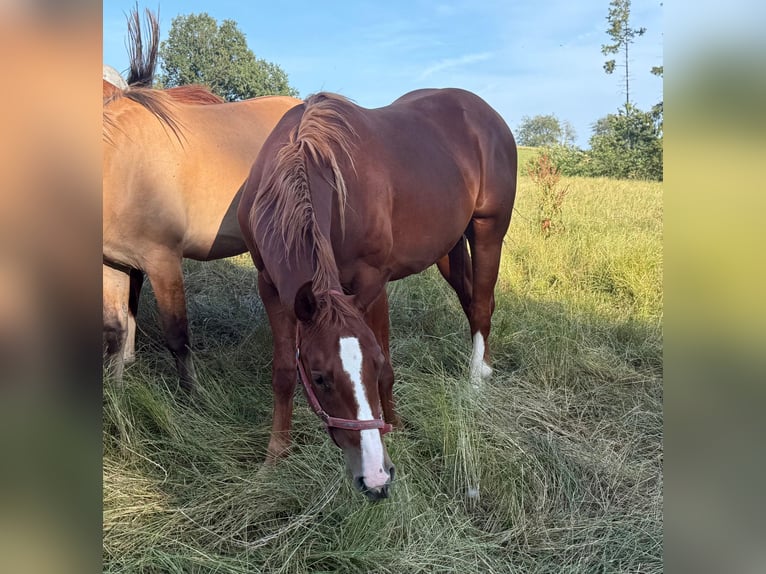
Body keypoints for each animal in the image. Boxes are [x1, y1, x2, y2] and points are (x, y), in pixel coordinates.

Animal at [102, 6, 301, 390]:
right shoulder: (113, 263)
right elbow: (115, 331)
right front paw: (116, 389)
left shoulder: (163, 260)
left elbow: (177, 336)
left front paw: (192, 394)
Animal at [237, 89, 517, 499]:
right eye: (319, 377)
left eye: (369, 365)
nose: (375, 479)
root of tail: (488, 115)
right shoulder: (271, 287)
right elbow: (284, 372)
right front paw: (274, 459)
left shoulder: (372, 283)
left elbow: (387, 365)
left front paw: (395, 426)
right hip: (448, 249)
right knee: (474, 303)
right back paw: (486, 367)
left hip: (487, 232)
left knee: (481, 304)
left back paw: (476, 381)